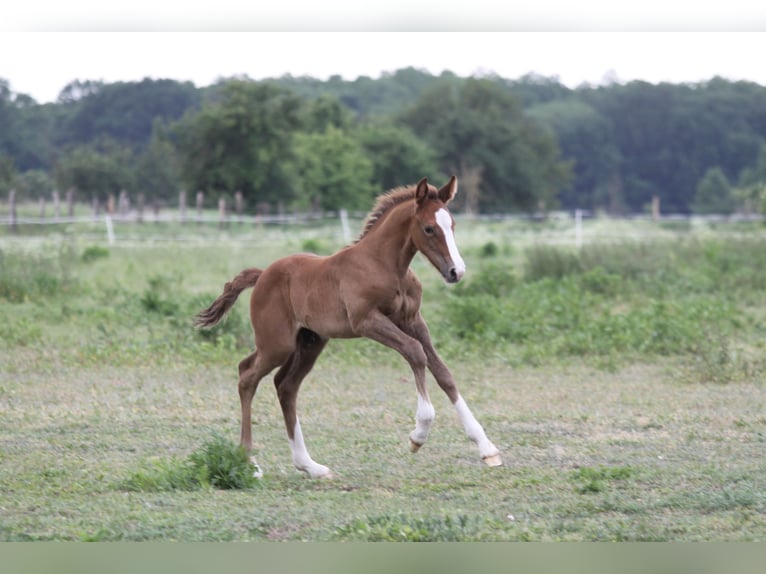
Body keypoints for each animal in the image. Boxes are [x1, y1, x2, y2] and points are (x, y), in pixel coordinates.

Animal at [194, 176, 502, 478]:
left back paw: (309, 465)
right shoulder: (366, 321)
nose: (456, 272)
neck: (386, 265)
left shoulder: (413, 320)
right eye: (428, 228)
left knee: (285, 386)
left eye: (452, 225)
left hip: (310, 342)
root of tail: (261, 276)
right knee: (247, 375)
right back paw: (250, 461)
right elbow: (416, 353)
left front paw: (486, 448)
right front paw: (418, 435)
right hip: (277, 344)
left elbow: (442, 372)